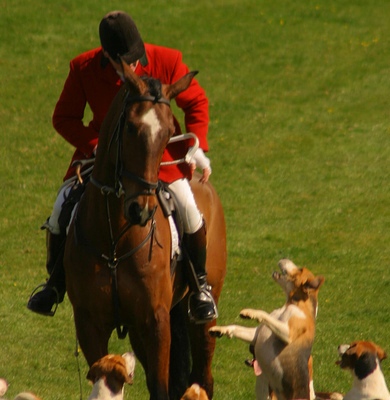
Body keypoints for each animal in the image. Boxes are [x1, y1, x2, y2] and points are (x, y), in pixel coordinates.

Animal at [63, 63, 225, 400]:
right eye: (130, 129)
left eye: (166, 134)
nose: (141, 209)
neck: (114, 240)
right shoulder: (90, 323)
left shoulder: (156, 321)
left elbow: (160, 387)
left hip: (202, 315)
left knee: (204, 375)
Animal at [209, 260, 324, 400]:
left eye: (300, 269)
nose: (283, 258)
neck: (293, 304)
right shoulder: (255, 334)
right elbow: (236, 327)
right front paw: (220, 330)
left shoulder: (288, 333)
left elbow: (264, 314)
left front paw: (251, 313)